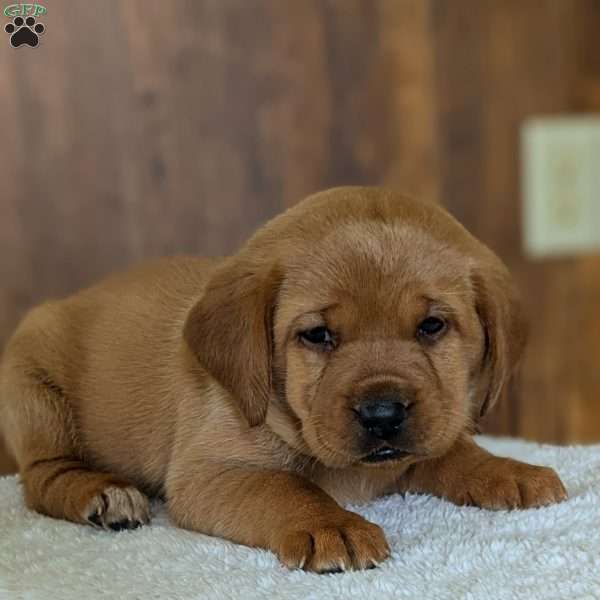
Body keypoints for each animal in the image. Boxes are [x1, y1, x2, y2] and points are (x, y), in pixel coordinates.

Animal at [0, 188, 564, 572]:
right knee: (41, 479)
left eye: (432, 326)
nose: (382, 414)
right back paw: (103, 493)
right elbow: (284, 487)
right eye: (317, 335)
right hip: (34, 392)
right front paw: (330, 525)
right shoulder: (209, 473)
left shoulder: (417, 442)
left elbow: (455, 451)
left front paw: (510, 470)